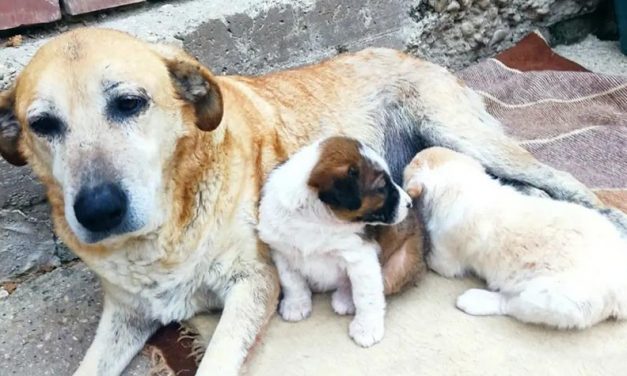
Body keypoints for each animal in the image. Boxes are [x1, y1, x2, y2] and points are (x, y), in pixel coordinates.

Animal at [258, 136, 426, 346]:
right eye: (382, 187)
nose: (409, 203)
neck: (315, 219)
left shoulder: (360, 257)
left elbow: (367, 296)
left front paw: (366, 328)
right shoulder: (281, 250)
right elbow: (291, 281)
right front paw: (296, 304)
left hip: (401, 264)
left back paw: (346, 300)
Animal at [402, 147, 627, 328]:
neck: (461, 185)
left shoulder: (446, 255)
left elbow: (435, 259)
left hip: (553, 299)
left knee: (511, 304)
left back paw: (475, 300)